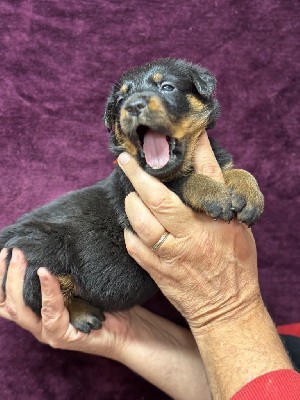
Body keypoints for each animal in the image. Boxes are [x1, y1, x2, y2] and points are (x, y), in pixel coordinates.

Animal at [0, 58, 262, 332]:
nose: (134, 105)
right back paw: (82, 313)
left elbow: (238, 171)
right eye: (120, 100)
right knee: (38, 294)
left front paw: (249, 192)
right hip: (41, 247)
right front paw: (214, 193)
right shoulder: (133, 194)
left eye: (167, 87)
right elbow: (183, 183)